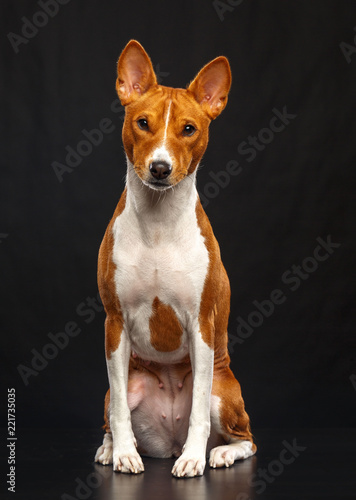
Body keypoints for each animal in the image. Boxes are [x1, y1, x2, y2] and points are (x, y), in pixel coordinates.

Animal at [94, 39, 256, 476]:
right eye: (142, 123)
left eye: (188, 129)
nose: (160, 168)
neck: (158, 222)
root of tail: (167, 440)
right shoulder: (115, 322)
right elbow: (120, 409)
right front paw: (125, 454)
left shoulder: (201, 324)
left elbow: (198, 407)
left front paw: (193, 459)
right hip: (124, 383)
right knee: (113, 411)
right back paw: (111, 448)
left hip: (223, 388)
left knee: (246, 437)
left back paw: (217, 453)